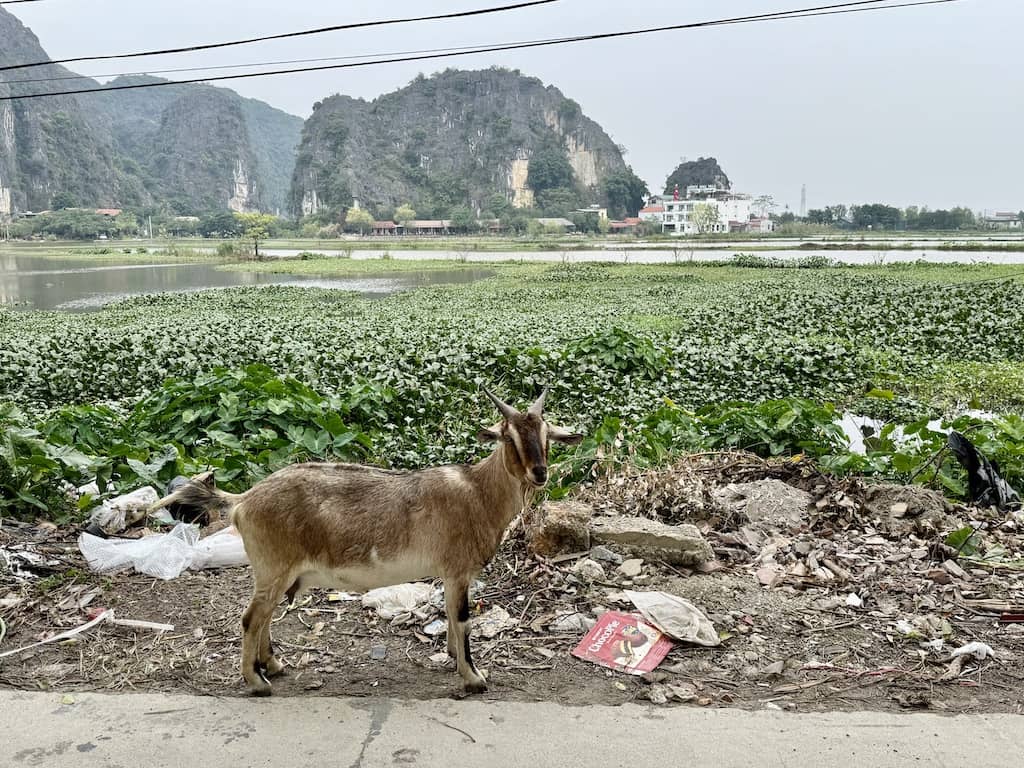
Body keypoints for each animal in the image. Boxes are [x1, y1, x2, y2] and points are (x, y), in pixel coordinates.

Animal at [151, 386, 582, 696]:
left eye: (546, 434)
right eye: (508, 438)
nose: (540, 473)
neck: (477, 491)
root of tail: (244, 500)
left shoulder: (449, 574)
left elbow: (449, 616)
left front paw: (451, 656)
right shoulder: (458, 569)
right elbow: (461, 618)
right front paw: (474, 677)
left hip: (274, 572)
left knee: (265, 616)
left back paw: (272, 665)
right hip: (274, 566)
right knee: (251, 618)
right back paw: (257, 682)